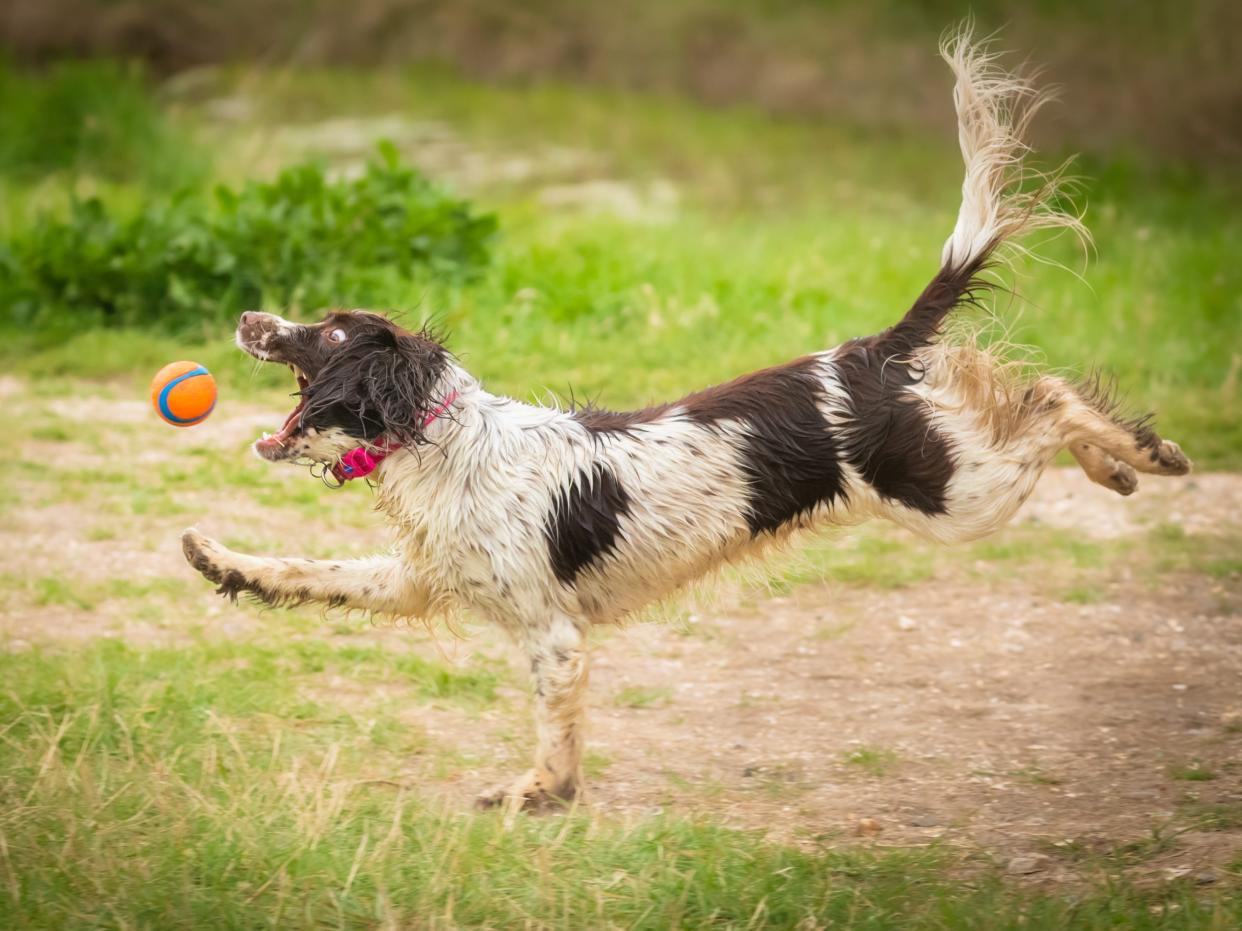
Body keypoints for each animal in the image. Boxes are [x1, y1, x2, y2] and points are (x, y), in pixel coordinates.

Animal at [180, 31, 1187, 809]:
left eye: (326, 332)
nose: (249, 318)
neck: (446, 442)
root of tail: (869, 351)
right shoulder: (423, 579)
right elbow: (309, 571)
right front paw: (215, 558)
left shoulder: (553, 635)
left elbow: (554, 730)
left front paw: (538, 792)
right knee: (1038, 396)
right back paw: (1122, 465)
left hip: (953, 493)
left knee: (1052, 397)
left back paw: (1142, 455)